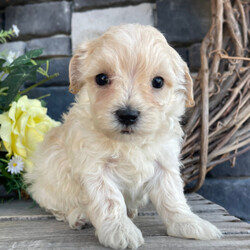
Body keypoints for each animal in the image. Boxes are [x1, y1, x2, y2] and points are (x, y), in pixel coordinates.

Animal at [24, 23, 221, 250]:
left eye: (158, 81)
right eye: (101, 78)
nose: (127, 115)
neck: (129, 143)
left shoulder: (165, 164)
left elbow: (172, 197)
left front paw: (188, 223)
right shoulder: (94, 168)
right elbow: (109, 200)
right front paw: (120, 230)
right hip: (46, 188)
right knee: (60, 208)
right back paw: (79, 216)